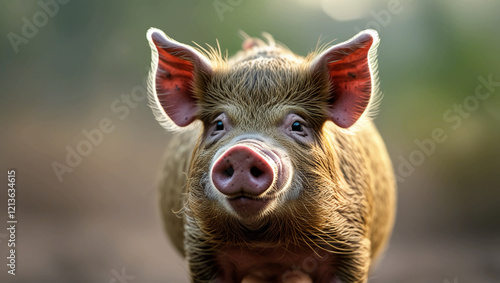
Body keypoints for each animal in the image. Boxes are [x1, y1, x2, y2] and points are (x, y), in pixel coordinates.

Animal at [146, 27, 396, 283]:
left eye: (297, 125)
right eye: (218, 124)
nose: (242, 151)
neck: (268, 246)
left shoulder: (352, 244)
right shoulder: (200, 246)